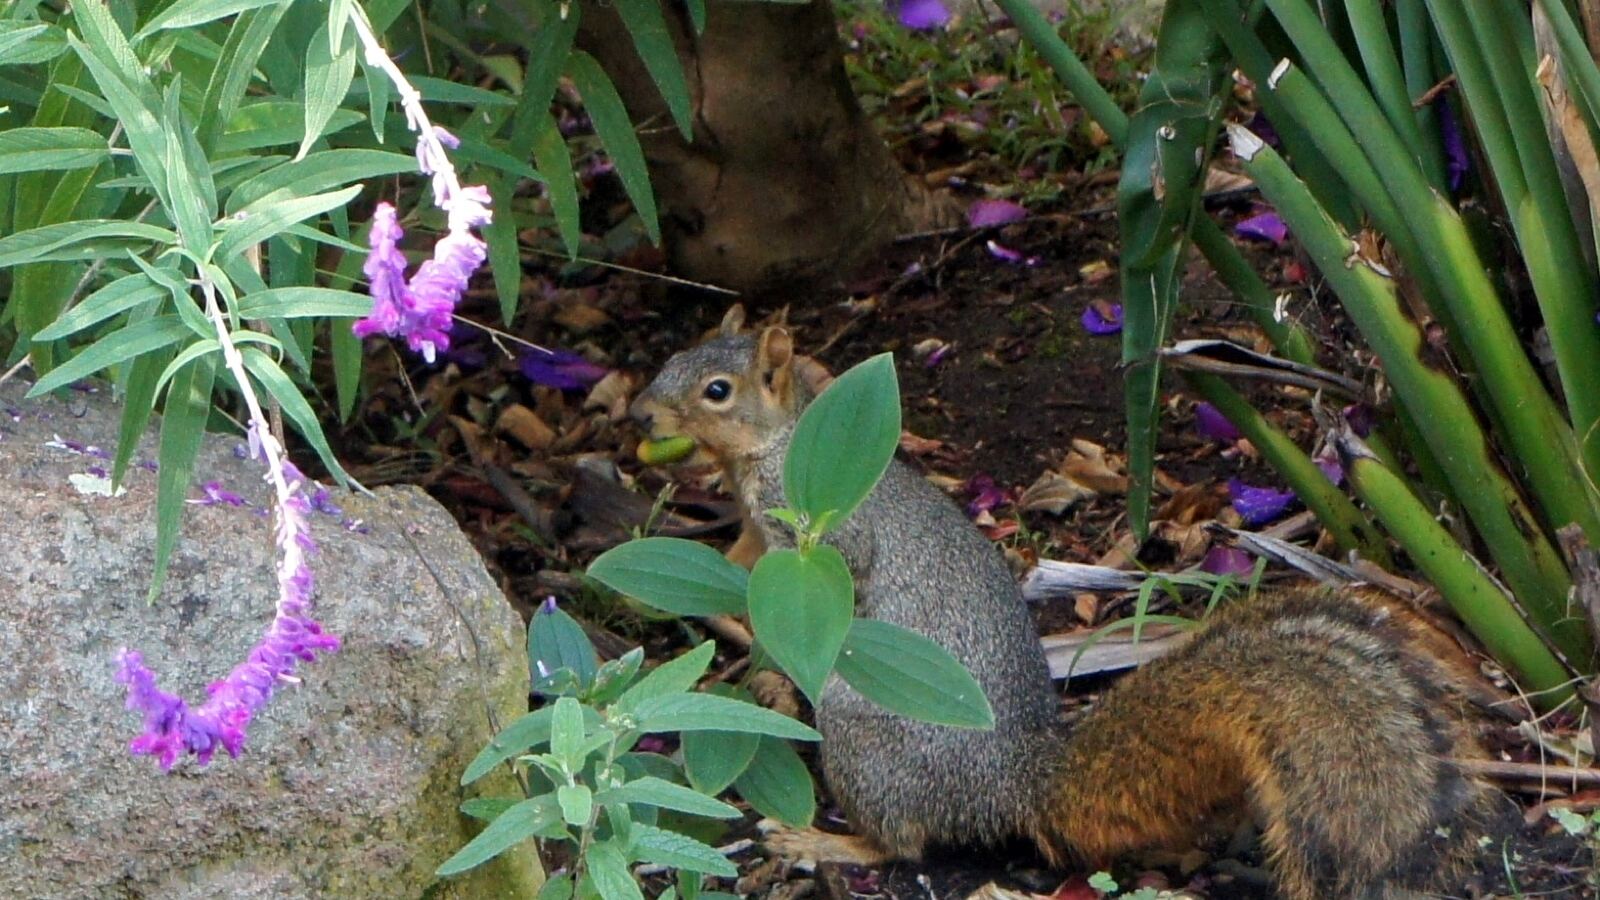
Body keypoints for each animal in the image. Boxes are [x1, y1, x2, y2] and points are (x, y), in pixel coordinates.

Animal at [628, 309, 1501, 900]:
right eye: (672, 358)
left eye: (716, 391)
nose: (642, 413)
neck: (779, 444)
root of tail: (1014, 786)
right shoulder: (756, 529)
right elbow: (735, 568)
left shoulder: (825, 528)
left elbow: (825, 581)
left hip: (861, 731)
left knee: (903, 844)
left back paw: (822, 840)